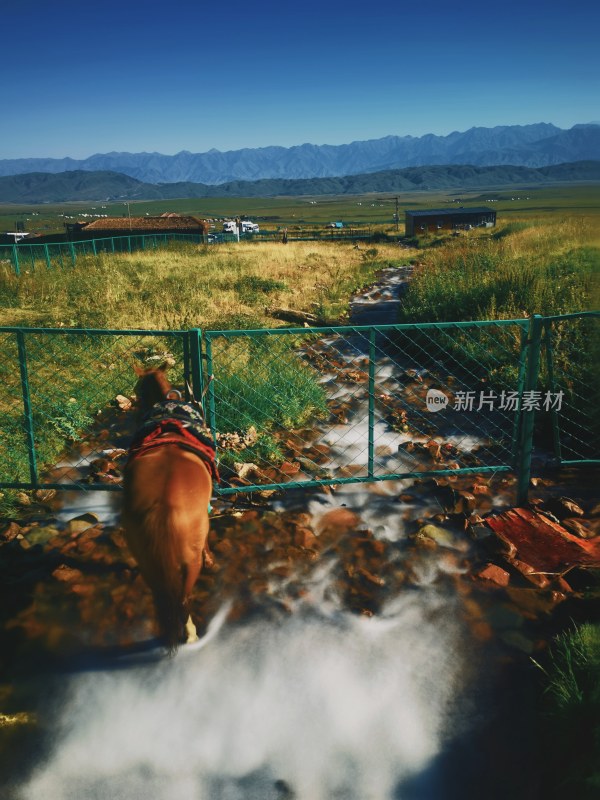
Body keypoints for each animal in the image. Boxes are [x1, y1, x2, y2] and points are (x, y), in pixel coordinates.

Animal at [120, 366, 217, 652]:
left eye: (138, 389)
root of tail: (163, 508)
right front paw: (212, 561)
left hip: (147, 560)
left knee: (163, 600)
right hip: (188, 562)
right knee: (182, 602)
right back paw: (192, 638)